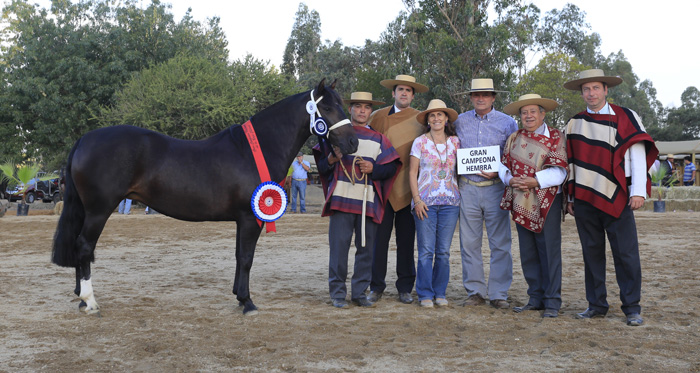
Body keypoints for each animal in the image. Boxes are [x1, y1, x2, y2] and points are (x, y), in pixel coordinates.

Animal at [52, 80, 358, 314]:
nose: (353, 142)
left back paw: (81, 297)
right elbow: (247, 257)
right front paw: (248, 302)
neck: (255, 149)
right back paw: (90, 301)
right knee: (84, 247)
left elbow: (239, 256)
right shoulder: (251, 218)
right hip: (98, 210)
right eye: (327, 107)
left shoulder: (242, 219)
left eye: (341, 105)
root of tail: (85, 139)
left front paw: (239, 296)